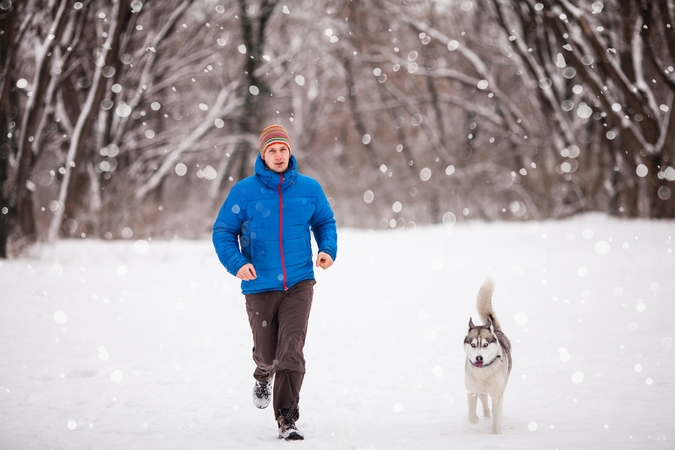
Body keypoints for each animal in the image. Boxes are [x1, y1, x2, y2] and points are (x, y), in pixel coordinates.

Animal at [464, 280, 512, 434]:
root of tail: (495, 330)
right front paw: (476, 421)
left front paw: (495, 435)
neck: (483, 372)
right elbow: (471, 415)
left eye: (485, 344)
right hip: (481, 391)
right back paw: (485, 417)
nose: (479, 358)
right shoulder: (471, 390)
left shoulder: (497, 394)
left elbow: (497, 417)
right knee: (484, 403)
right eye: (473, 345)